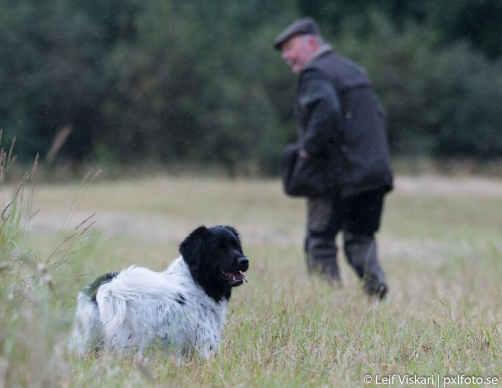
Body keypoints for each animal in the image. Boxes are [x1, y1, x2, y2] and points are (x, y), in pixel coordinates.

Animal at [69, 226, 250, 360]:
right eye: (218, 248)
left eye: (236, 245)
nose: (244, 261)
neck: (197, 281)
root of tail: (108, 287)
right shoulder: (204, 346)